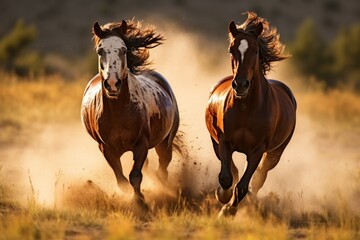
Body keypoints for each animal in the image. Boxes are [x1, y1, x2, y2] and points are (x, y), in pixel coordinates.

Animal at [80, 20, 179, 208]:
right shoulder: (106, 148)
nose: (112, 84)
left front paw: (141, 202)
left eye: (124, 50)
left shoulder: (141, 144)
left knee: (163, 169)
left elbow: (135, 176)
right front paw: (135, 199)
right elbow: (122, 180)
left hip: (165, 142)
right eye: (100, 51)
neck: (119, 113)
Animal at [204, 12, 296, 217]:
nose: (240, 85)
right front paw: (222, 196)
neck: (247, 108)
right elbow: (226, 177)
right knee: (234, 170)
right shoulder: (224, 141)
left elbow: (243, 186)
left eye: (255, 51)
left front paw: (228, 210)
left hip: (275, 153)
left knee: (258, 178)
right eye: (231, 50)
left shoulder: (257, 150)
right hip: (215, 143)